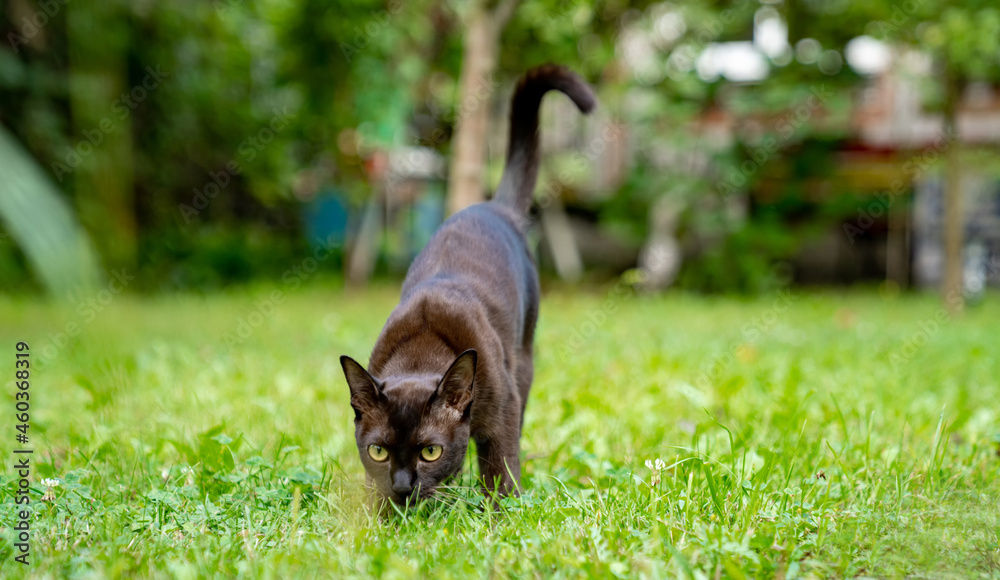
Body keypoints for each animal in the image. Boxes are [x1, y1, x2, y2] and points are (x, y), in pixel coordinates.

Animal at [340, 64, 596, 508]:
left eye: (430, 451)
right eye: (378, 451)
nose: (403, 488)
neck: (422, 347)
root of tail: (494, 205)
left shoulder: (502, 410)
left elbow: (500, 467)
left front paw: (499, 513)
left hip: (523, 364)